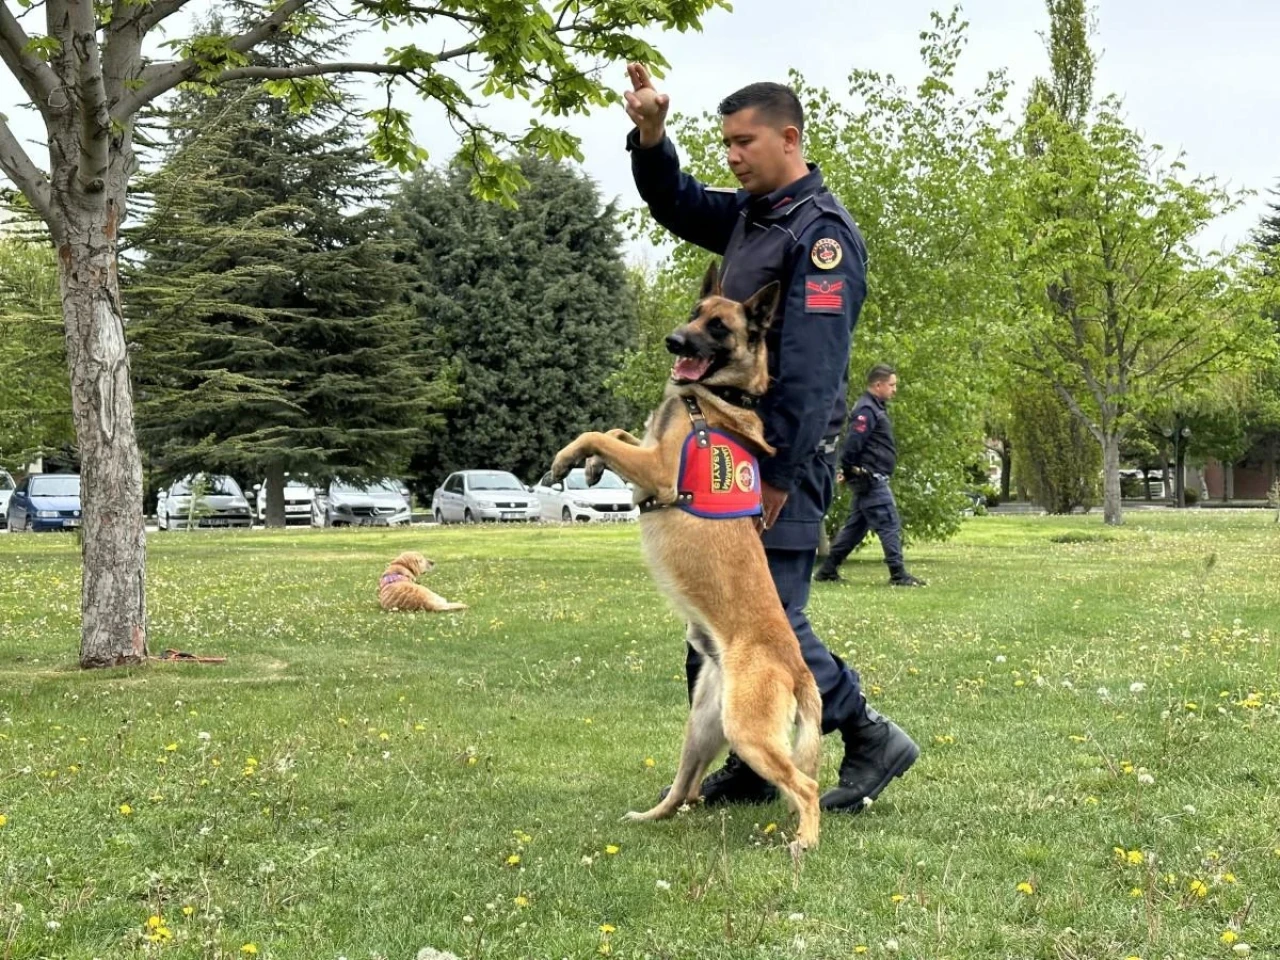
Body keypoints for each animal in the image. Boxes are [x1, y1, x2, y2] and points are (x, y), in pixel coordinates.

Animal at [547, 259, 824, 855]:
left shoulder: (655, 468)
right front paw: (589, 467)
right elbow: (615, 431)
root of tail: (796, 667)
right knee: (686, 788)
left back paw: (806, 838)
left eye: (718, 327)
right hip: (701, 727)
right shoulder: (646, 450)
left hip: (746, 732)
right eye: (695, 313)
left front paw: (569, 458)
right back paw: (651, 815)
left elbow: (597, 431)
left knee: (806, 784)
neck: (718, 400)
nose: (673, 340)